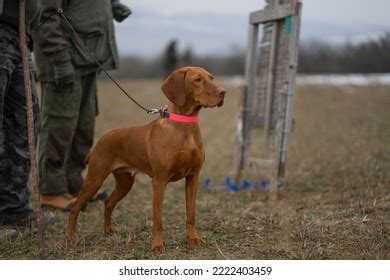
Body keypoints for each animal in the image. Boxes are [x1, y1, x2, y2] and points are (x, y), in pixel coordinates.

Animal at [66, 66, 225, 253]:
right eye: (198, 79)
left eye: (211, 77)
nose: (223, 92)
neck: (184, 127)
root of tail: (101, 140)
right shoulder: (159, 181)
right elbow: (158, 219)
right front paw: (157, 245)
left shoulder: (193, 177)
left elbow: (191, 214)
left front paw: (193, 238)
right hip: (95, 179)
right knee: (76, 207)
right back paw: (70, 236)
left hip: (125, 182)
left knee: (108, 202)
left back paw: (108, 229)